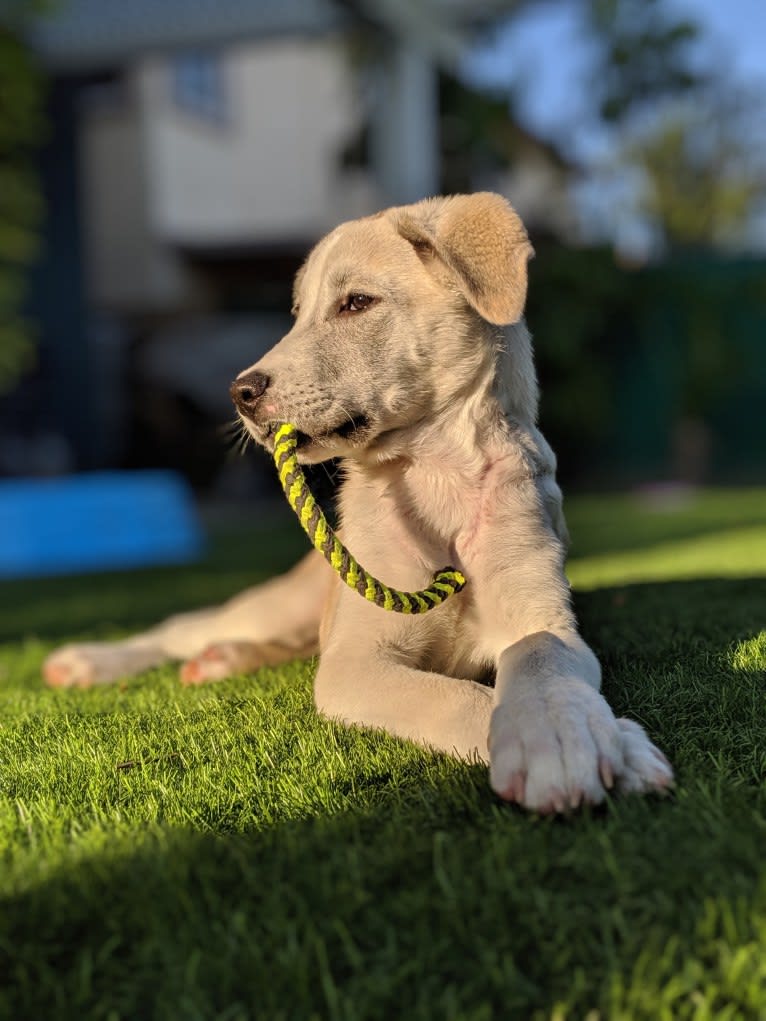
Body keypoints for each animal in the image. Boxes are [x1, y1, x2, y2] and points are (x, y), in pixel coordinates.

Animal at [44, 192, 674, 812]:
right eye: (297, 313)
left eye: (356, 304)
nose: (240, 393)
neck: (436, 481)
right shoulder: (356, 663)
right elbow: (458, 697)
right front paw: (572, 744)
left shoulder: (543, 617)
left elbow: (541, 655)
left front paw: (570, 730)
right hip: (284, 603)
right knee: (184, 626)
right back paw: (91, 660)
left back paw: (226, 658)